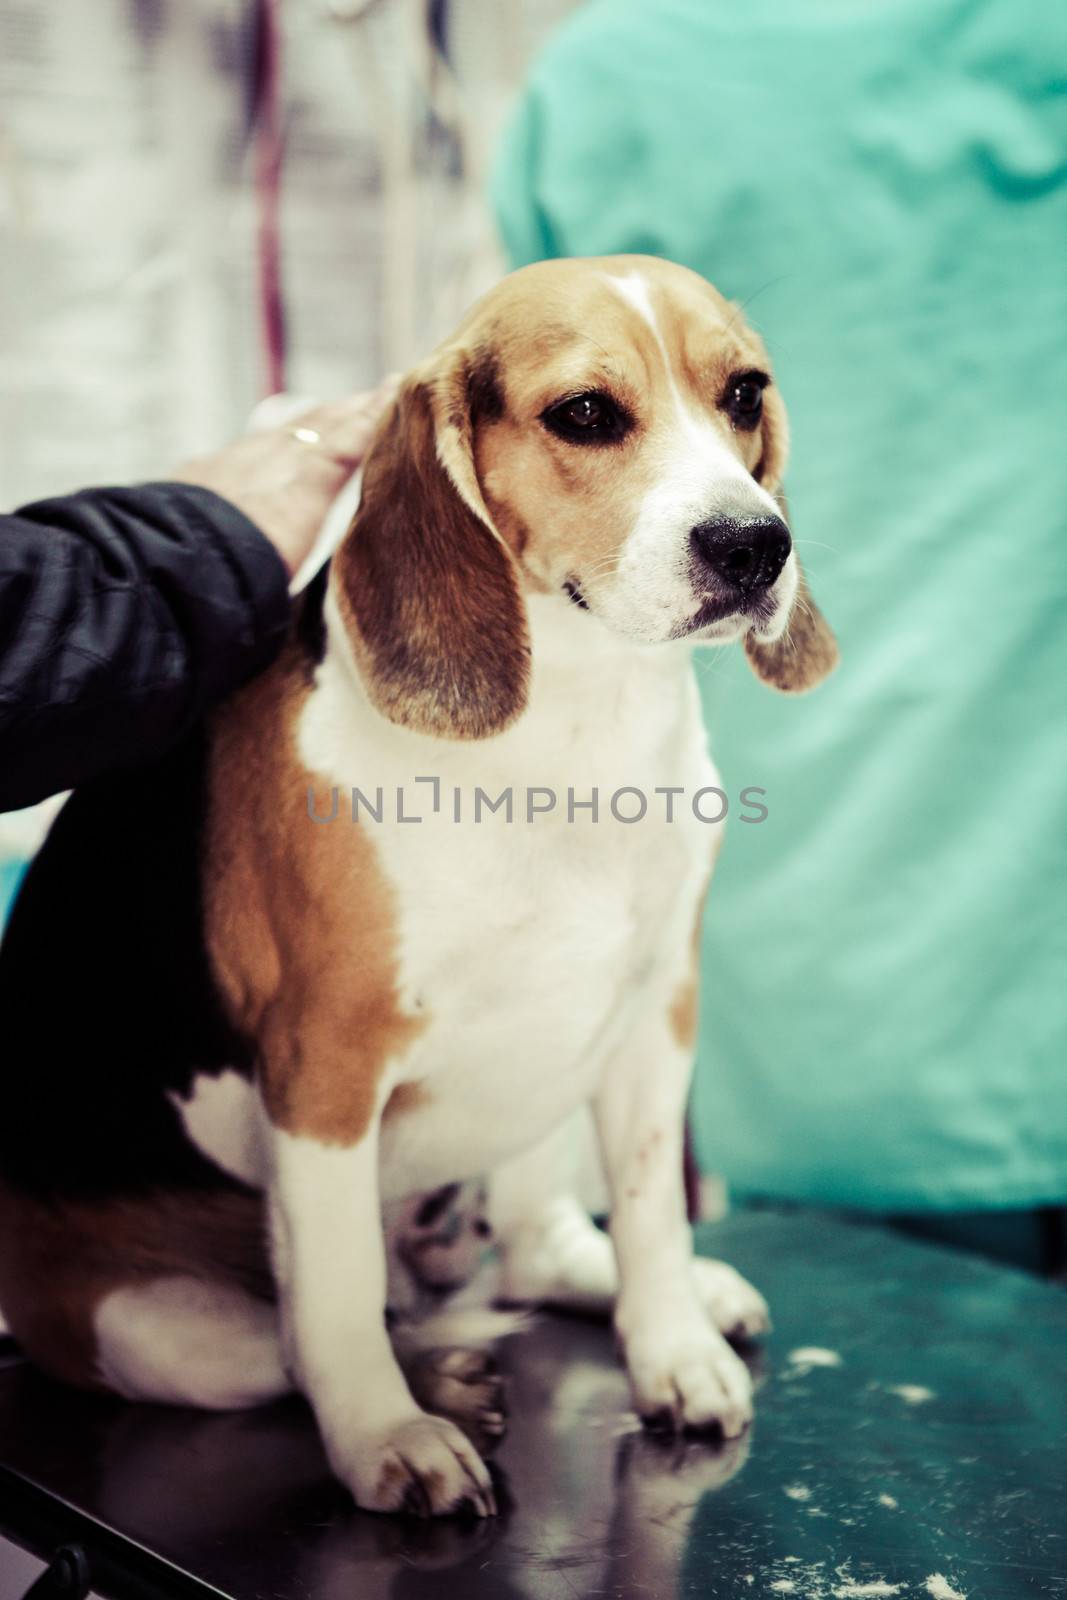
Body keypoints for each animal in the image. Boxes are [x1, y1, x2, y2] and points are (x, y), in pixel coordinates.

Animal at [0, 256, 831, 1516]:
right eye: (585, 413)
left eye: (742, 393)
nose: (753, 544)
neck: (570, 728)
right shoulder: (324, 1062)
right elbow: (336, 1296)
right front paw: (388, 1437)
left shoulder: (654, 1013)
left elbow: (650, 1210)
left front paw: (671, 1346)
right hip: (141, 1324)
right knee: (301, 1341)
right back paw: (431, 1381)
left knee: (532, 1246)